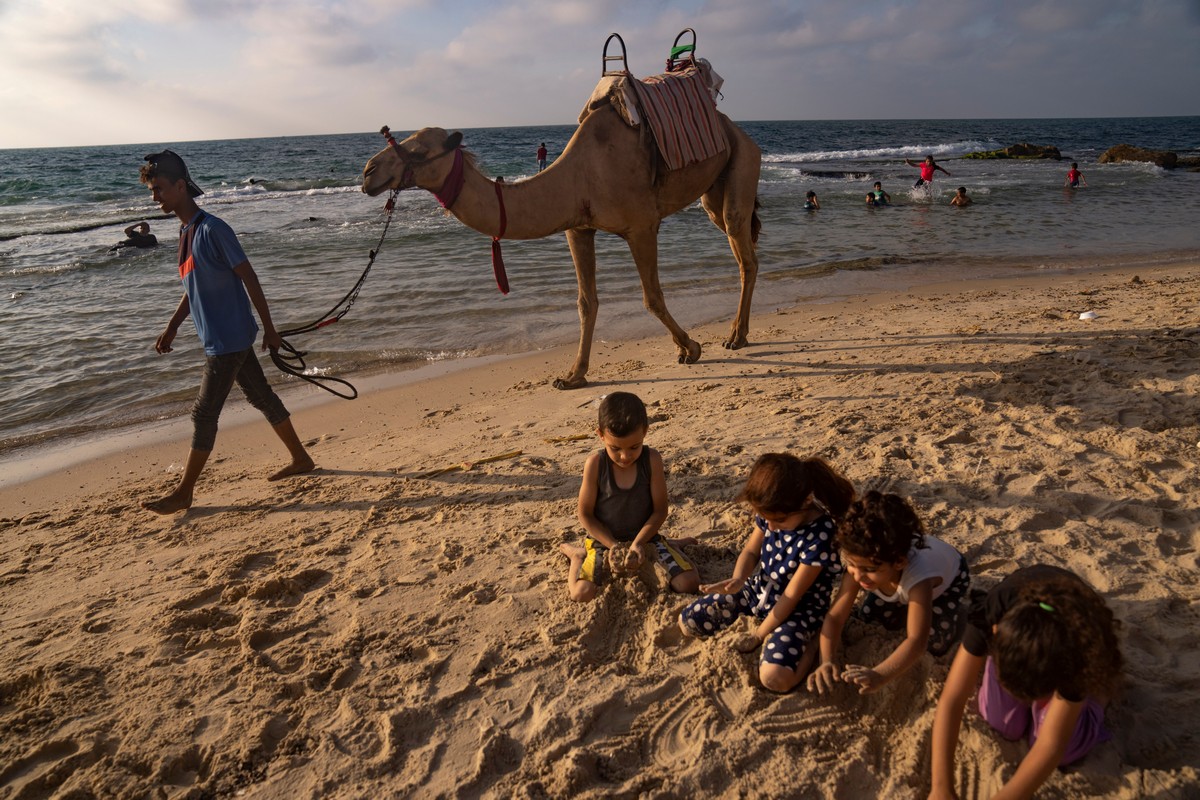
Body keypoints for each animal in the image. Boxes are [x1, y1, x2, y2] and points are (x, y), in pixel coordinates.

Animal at [360, 77, 763, 388]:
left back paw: (735, 337)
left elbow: (652, 297)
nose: (368, 171)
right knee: (742, 245)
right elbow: (586, 302)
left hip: (743, 158)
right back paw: (738, 333)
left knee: (743, 248)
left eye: (418, 149)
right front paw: (573, 376)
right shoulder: (578, 229)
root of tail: (734, 127)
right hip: (713, 190)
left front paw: (690, 349)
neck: (578, 176)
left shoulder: (642, 226)